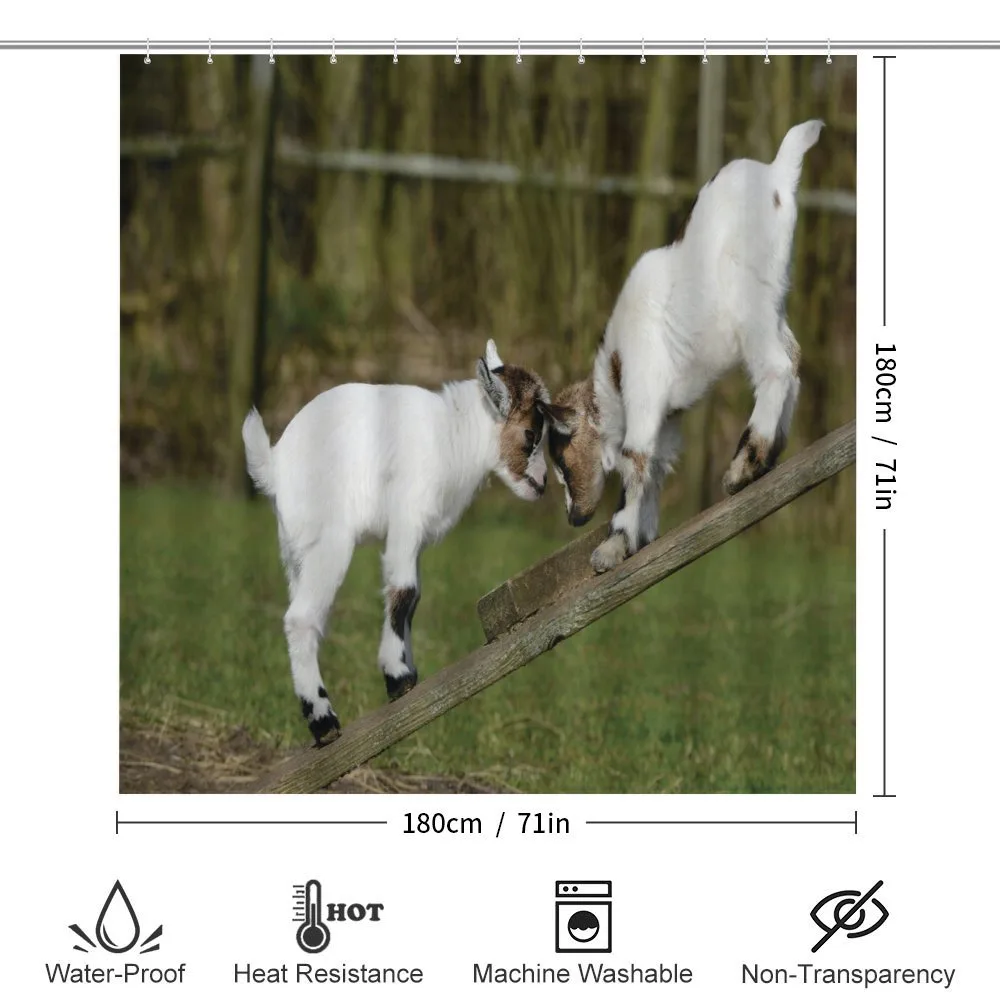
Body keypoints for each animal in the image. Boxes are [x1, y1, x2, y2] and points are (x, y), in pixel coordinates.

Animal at [242, 341, 553, 743]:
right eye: (531, 433)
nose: (543, 484)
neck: (453, 433)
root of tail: (275, 466)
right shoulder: (407, 517)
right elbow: (404, 591)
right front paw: (397, 676)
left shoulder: (411, 537)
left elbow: (411, 596)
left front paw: (408, 673)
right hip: (329, 544)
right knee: (301, 618)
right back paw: (323, 720)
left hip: (295, 553)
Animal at [544, 120, 824, 573]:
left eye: (564, 464)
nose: (573, 518)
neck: (613, 376)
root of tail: (777, 173)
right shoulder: (668, 421)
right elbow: (654, 467)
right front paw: (635, 540)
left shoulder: (642, 392)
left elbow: (634, 461)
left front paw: (613, 546)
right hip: (773, 301)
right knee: (794, 361)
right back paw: (765, 459)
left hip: (748, 302)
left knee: (777, 367)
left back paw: (745, 464)